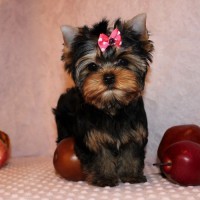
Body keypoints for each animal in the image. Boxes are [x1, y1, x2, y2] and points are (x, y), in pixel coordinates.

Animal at [53, 13, 153, 187]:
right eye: (92, 66)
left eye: (123, 61)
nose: (108, 77)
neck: (111, 106)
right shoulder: (92, 138)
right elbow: (100, 156)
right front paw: (104, 178)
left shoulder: (134, 134)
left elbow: (131, 154)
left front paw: (131, 175)